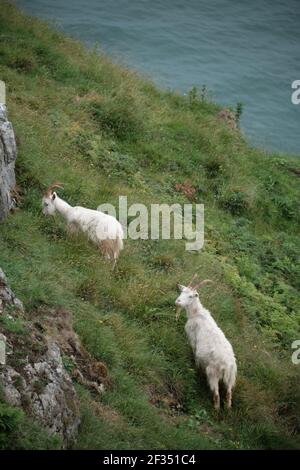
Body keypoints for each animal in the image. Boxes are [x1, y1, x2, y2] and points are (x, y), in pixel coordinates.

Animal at [176, 274, 237, 410]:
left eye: (191, 296)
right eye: (182, 291)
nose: (177, 301)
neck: (197, 314)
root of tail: (227, 366)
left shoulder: (193, 339)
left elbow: (194, 353)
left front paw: (195, 367)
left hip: (213, 373)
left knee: (217, 395)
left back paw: (216, 409)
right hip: (231, 377)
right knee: (229, 394)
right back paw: (228, 409)